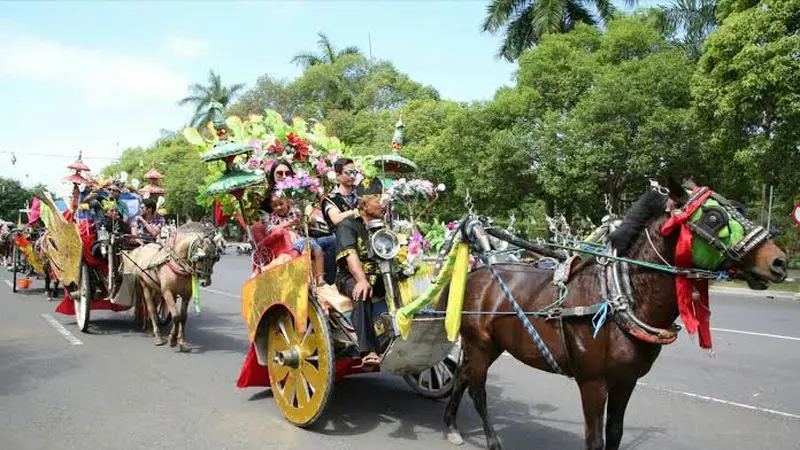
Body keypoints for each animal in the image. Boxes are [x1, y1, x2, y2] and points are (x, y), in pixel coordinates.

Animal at [122, 223, 217, 354]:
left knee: (153, 306)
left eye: (215, 258)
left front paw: (181, 342)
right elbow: (175, 316)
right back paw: (157, 336)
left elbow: (182, 317)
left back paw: (150, 329)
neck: (177, 264)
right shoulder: (167, 292)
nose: (205, 282)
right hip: (145, 285)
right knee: (151, 309)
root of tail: (142, 248)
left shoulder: (187, 294)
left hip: (156, 288)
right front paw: (172, 339)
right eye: (200, 258)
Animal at [444, 180, 788, 450]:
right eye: (714, 217)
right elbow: (595, 439)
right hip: (479, 343)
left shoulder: (626, 381)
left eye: (739, 207)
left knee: (461, 376)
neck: (615, 296)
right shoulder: (592, 383)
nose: (780, 262)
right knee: (477, 390)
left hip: (491, 346)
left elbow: (616, 433)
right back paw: (491, 440)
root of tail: (476, 272)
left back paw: (450, 426)